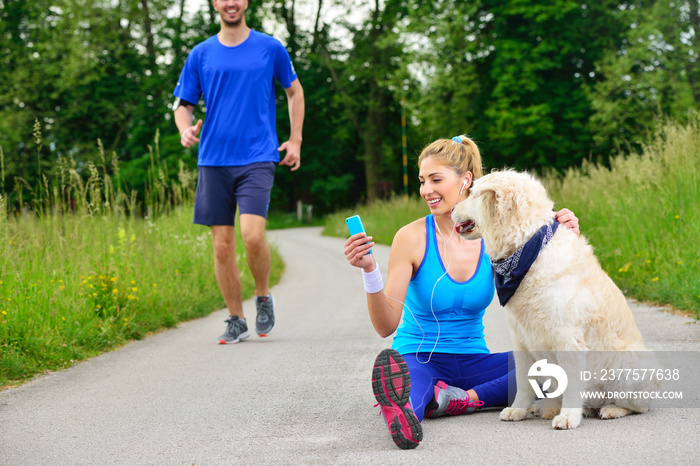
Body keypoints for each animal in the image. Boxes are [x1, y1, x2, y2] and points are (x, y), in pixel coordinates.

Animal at [454, 170, 656, 430]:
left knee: (637, 406)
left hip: (629, 365)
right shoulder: (521, 340)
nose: (451, 209)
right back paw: (548, 408)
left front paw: (568, 417)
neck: (527, 249)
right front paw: (518, 409)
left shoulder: (567, 339)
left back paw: (610, 409)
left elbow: (571, 385)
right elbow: (524, 381)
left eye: (472, 194)